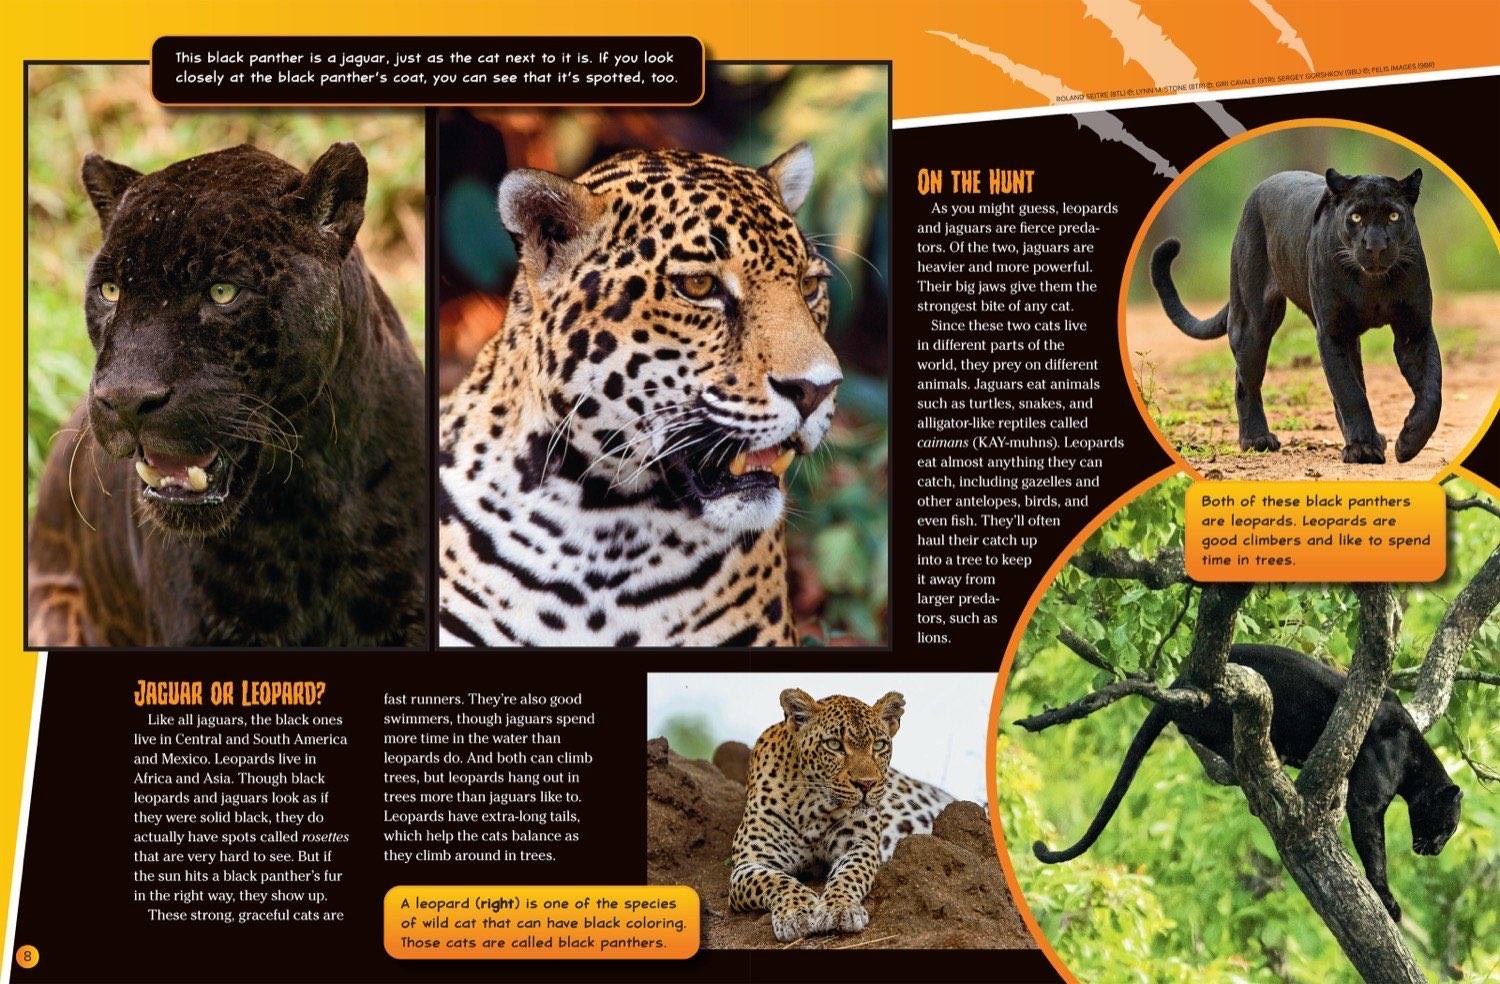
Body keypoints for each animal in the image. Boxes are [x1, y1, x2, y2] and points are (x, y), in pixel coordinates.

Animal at [728, 689, 955, 942]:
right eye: (834, 745)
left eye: (879, 745)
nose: (866, 784)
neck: (811, 809)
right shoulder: (749, 863)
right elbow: (775, 881)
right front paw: (797, 912)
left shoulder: (860, 845)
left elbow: (849, 874)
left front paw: (840, 908)